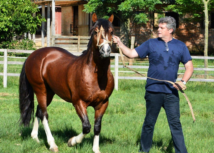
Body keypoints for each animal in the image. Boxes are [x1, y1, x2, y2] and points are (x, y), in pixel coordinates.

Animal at [19, 13, 114, 153]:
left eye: (111, 31)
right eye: (96, 31)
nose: (105, 51)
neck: (95, 75)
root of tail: (33, 54)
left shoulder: (103, 103)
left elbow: (97, 126)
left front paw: (96, 149)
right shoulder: (79, 103)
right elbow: (86, 126)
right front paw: (72, 141)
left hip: (49, 93)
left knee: (39, 111)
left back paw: (35, 137)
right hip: (40, 90)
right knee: (44, 115)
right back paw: (52, 144)